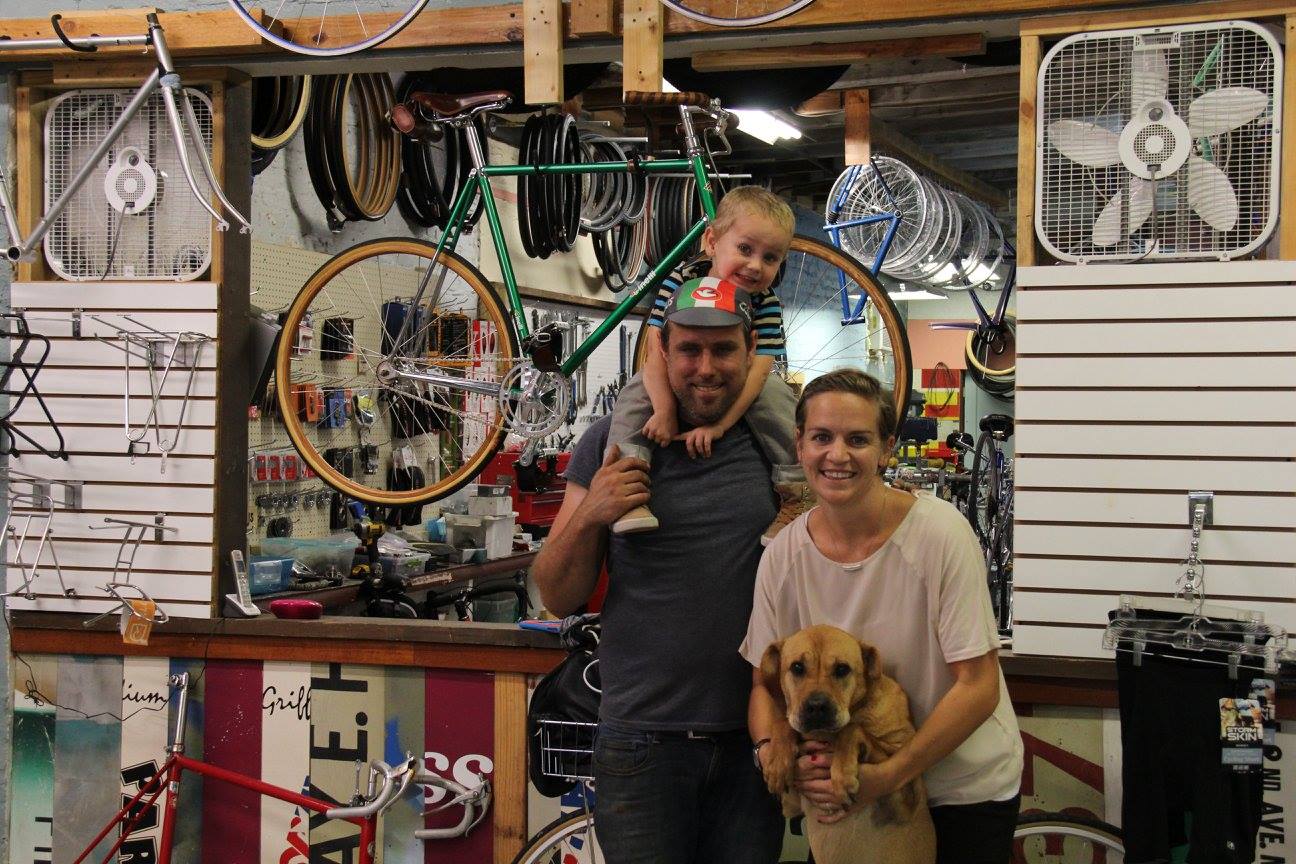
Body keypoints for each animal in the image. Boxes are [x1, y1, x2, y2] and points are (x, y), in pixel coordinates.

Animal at [756, 629, 933, 864]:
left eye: (842, 669)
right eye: (797, 667)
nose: (816, 707)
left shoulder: (907, 795)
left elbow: (851, 729)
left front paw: (842, 775)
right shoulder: (790, 804)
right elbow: (783, 722)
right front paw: (777, 763)